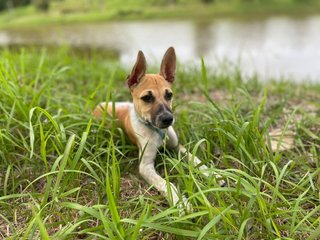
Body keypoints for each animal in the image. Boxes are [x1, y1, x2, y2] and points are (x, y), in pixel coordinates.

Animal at [94, 47, 216, 208]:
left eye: (169, 95)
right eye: (147, 98)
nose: (168, 119)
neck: (157, 131)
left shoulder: (177, 146)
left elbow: (194, 158)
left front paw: (212, 173)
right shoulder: (145, 166)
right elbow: (166, 184)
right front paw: (180, 203)